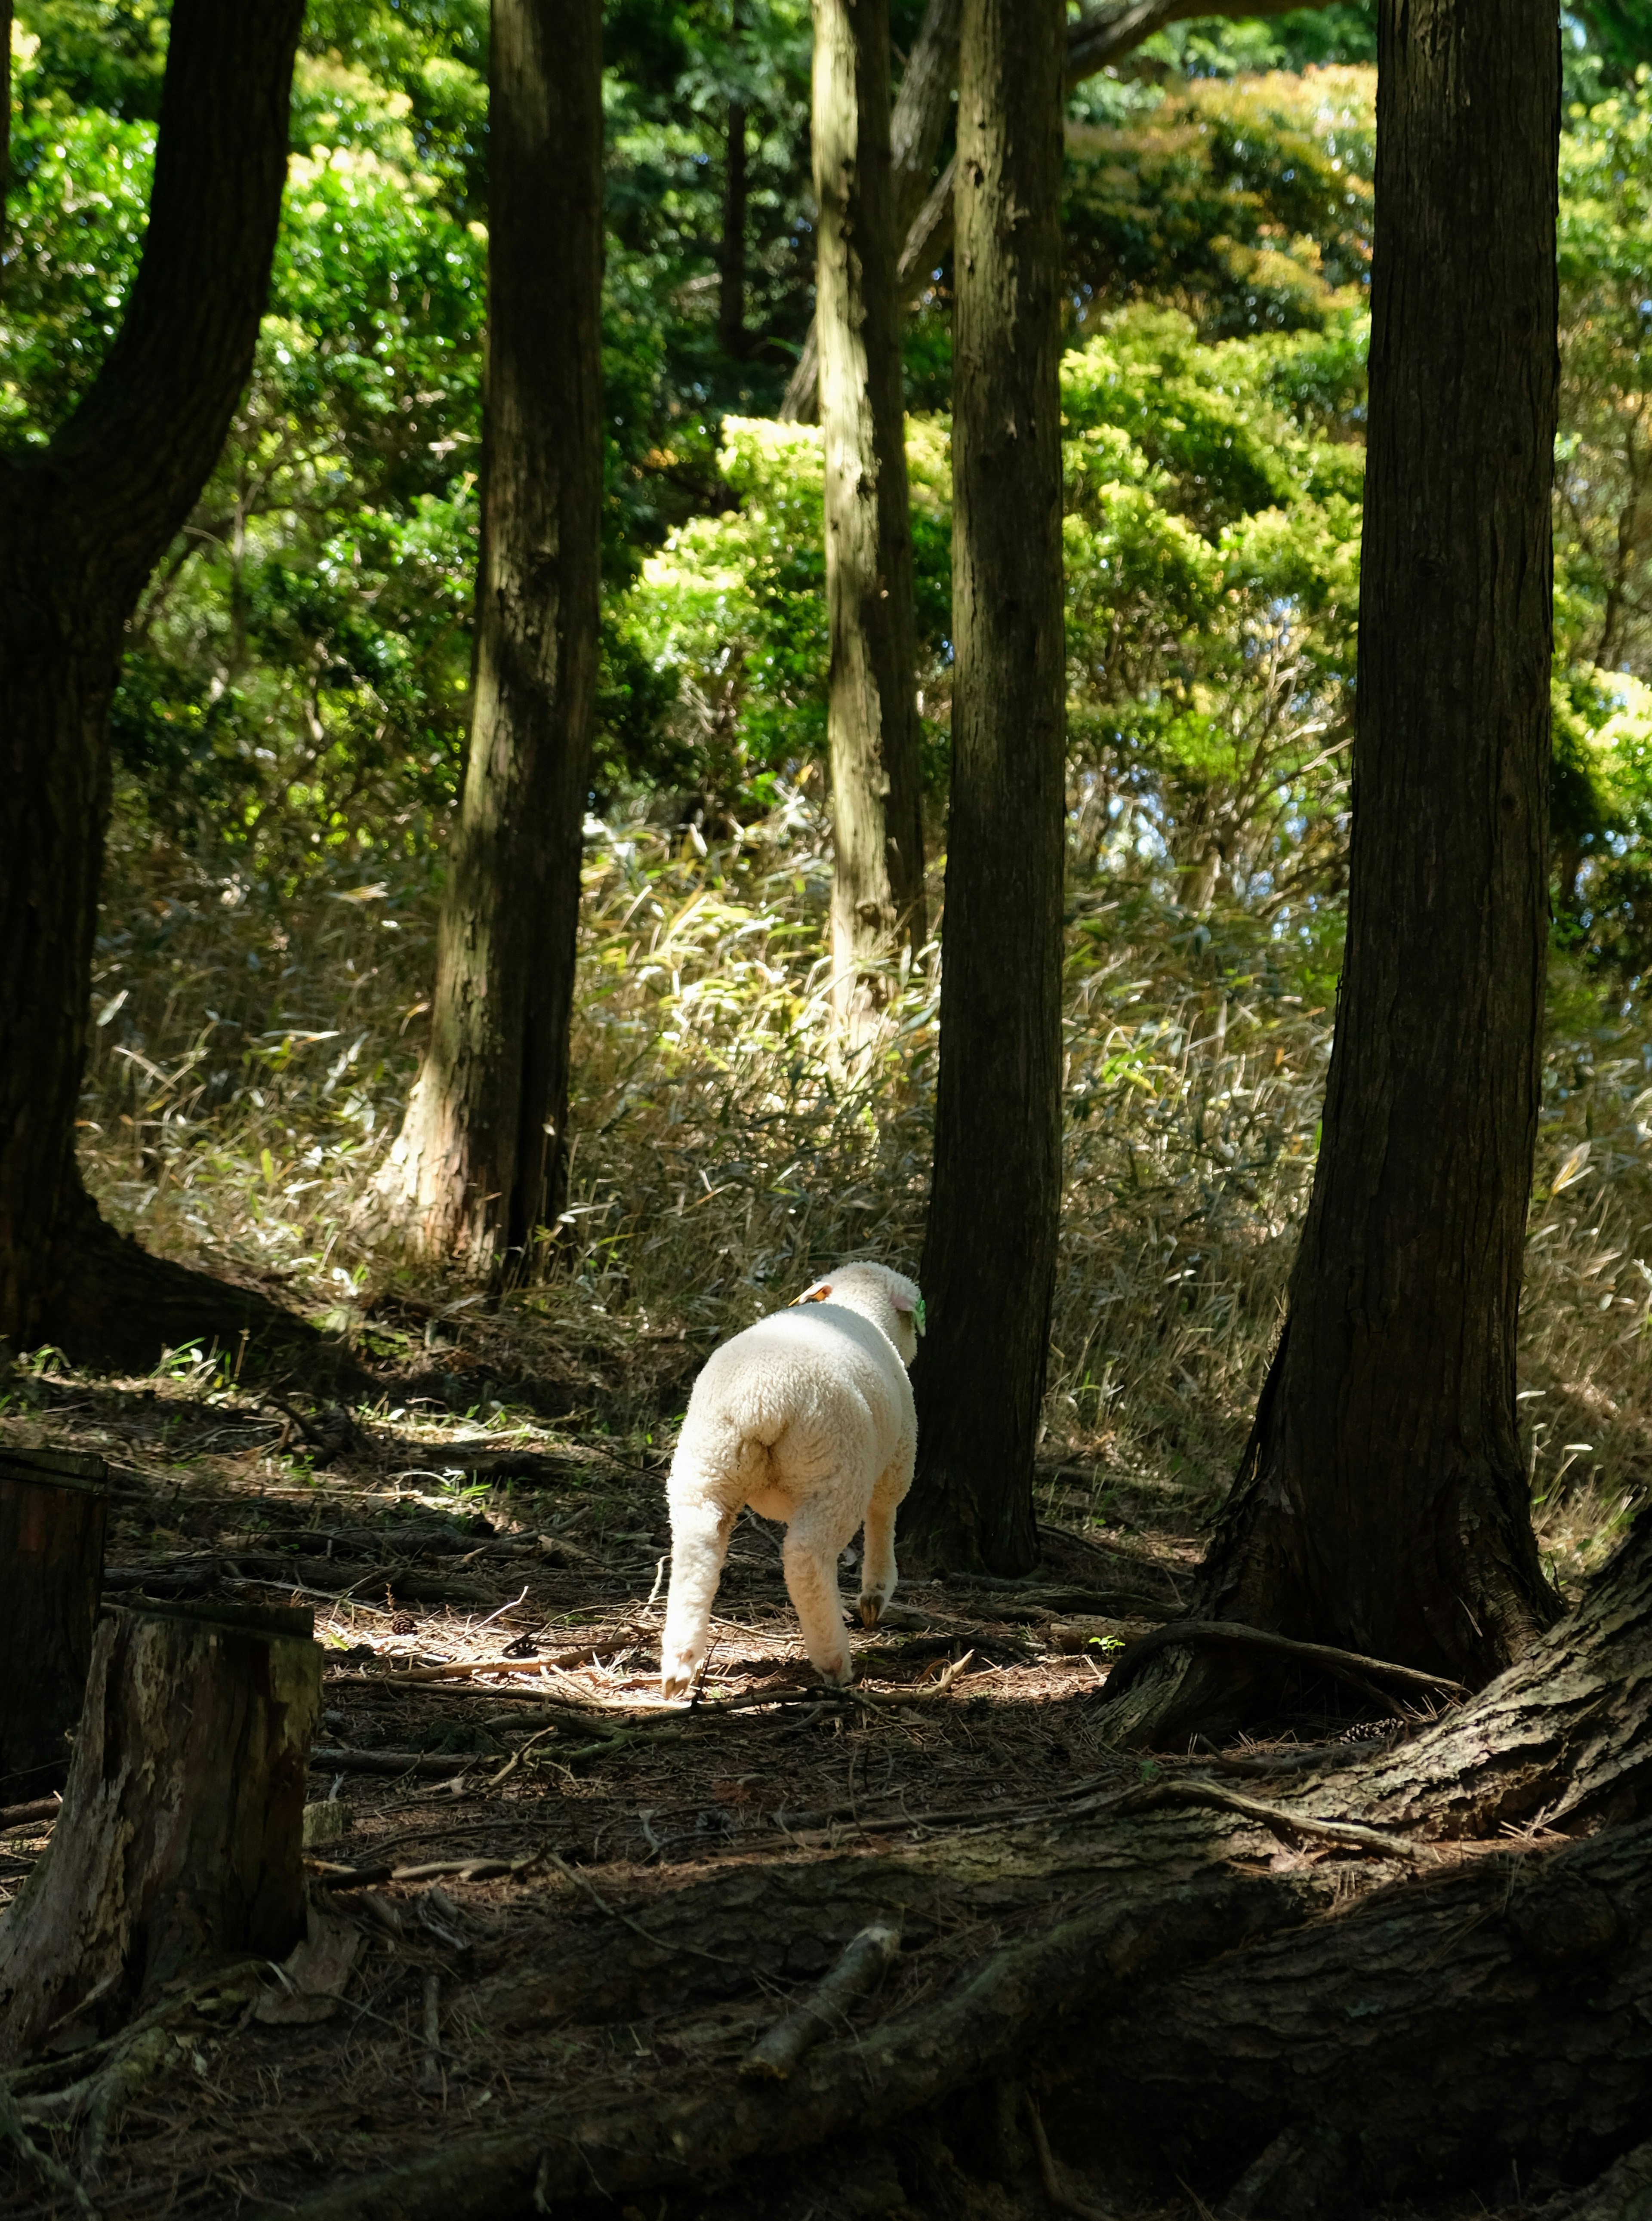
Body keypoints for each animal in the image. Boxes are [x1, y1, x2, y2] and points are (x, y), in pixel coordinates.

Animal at [657, 1270, 924, 1697]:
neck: (858, 1305)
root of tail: (761, 1400)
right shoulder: (898, 1455)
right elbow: (884, 1514)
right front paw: (876, 1592)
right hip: (834, 1471)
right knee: (805, 1559)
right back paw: (834, 1660)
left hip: (706, 1462)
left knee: (697, 1546)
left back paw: (680, 1661)